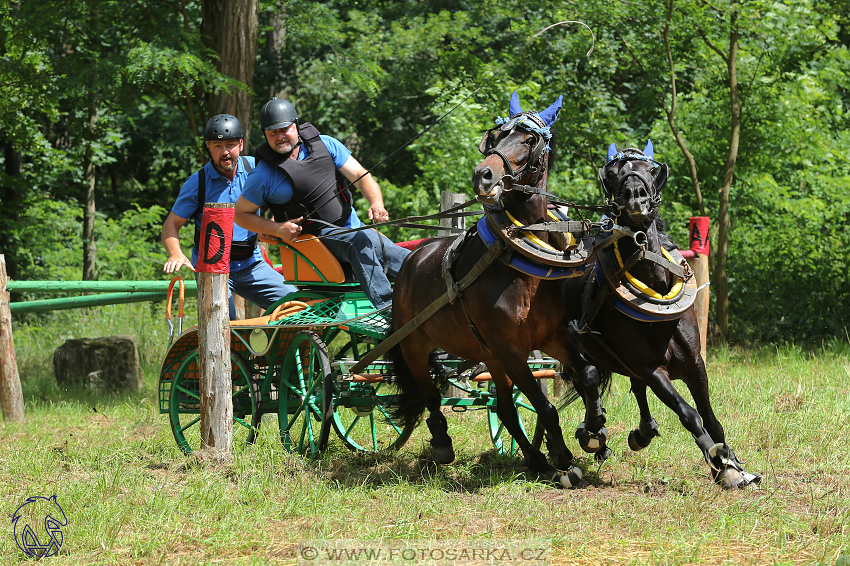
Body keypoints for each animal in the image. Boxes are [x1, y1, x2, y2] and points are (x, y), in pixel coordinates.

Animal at [388, 93, 608, 488]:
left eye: (529, 139)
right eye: (495, 138)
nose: (483, 174)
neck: (520, 265)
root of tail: (413, 257)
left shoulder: (550, 337)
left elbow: (588, 374)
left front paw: (594, 431)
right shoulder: (511, 349)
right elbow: (545, 406)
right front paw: (564, 459)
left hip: (488, 354)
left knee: (504, 408)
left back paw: (535, 460)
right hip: (415, 344)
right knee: (430, 394)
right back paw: (442, 444)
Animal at [568, 143, 760, 492]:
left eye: (649, 169)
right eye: (612, 174)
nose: (635, 196)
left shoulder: (695, 364)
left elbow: (711, 419)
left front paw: (734, 465)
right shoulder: (654, 370)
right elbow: (689, 415)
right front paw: (721, 466)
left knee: (629, 388)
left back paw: (640, 432)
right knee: (586, 379)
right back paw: (593, 433)